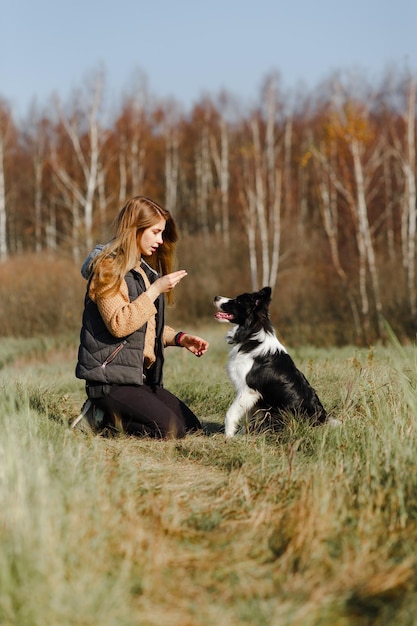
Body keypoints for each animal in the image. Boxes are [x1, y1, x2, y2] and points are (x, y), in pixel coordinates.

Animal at [214, 286, 328, 436]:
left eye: (238, 301)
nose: (215, 297)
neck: (251, 333)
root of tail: (321, 421)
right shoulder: (252, 398)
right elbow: (247, 418)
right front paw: (242, 436)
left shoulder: (248, 391)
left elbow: (230, 414)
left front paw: (229, 436)